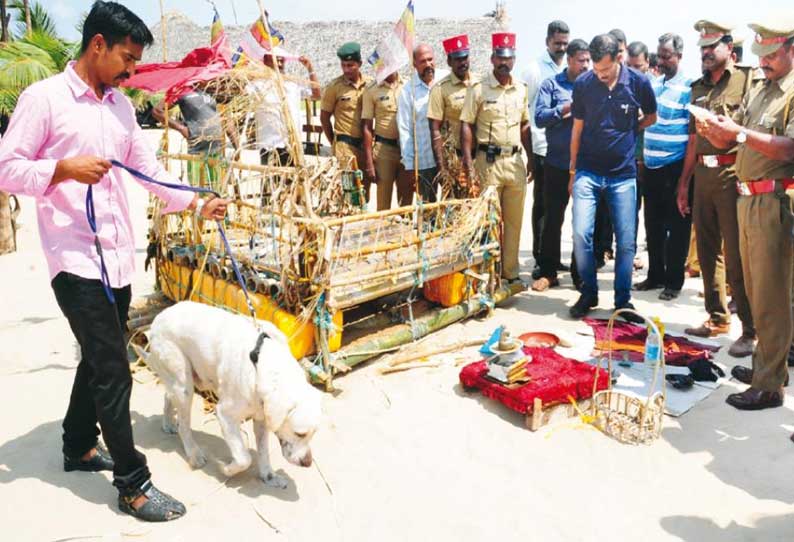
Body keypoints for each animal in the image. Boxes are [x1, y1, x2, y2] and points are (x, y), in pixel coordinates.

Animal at [135, 302, 320, 488]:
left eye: (313, 434)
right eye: (300, 434)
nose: (307, 463)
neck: (261, 364)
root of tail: (159, 317)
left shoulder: (261, 418)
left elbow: (263, 452)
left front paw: (268, 476)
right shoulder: (225, 415)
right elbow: (244, 459)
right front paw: (226, 469)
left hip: (188, 380)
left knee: (168, 395)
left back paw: (168, 424)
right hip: (183, 385)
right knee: (183, 425)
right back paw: (194, 454)